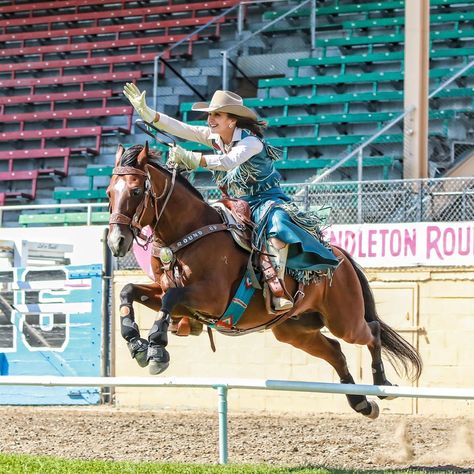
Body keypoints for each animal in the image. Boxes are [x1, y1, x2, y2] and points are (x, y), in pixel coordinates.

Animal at [107, 143, 422, 418]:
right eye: (110, 192)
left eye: (136, 190)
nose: (116, 241)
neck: (189, 233)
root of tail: (339, 255)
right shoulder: (170, 294)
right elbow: (128, 291)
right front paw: (136, 343)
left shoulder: (211, 299)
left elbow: (171, 299)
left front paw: (157, 348)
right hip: (295, 330)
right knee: (336, 352)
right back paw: (361, 403)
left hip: (345, 320)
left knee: (371, 332)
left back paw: (382, 384)